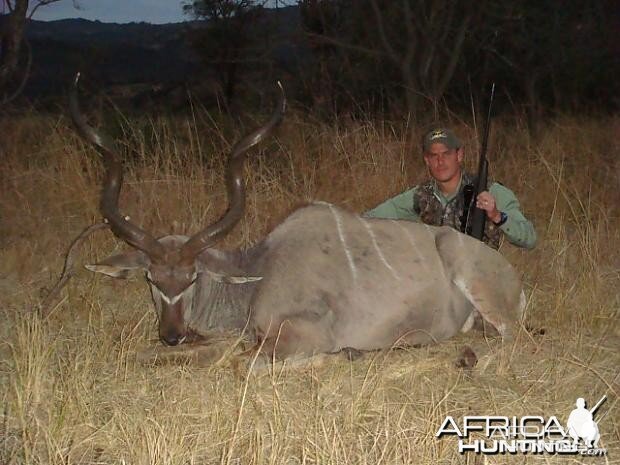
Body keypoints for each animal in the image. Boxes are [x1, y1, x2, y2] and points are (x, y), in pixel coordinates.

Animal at [55, 74, 524, 360]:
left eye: (191, 279)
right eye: (152, 279)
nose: (171, 335)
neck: (260, 271)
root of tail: (514, 280)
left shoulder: (301, 335)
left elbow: (246, 360)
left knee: (512, 339)